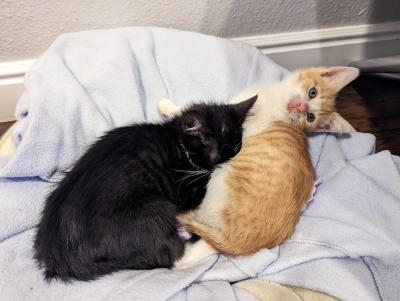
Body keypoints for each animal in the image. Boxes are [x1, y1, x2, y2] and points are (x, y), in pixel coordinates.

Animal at [34, 95, 256, 278]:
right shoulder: (186, 191)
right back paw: (215, 246)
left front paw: (167, 106)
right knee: (175, 258)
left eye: (235, 151)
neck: (178, 142)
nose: (219, 171)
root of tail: (63, 259)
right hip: (154, 208)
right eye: (215, 160)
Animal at [159, 65, 360, 268]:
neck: (278, 102)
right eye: (313, 93)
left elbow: (196, 114)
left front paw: (168, 107)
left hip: (217, 179)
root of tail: (236, 244)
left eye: (310, 117)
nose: (301, 107)